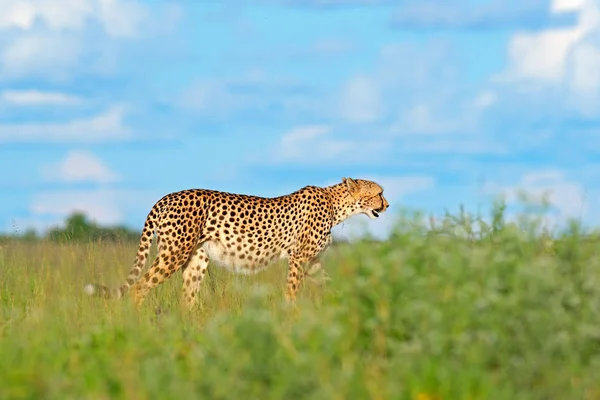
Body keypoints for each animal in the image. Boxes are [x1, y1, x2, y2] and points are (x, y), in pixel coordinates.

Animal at [84, 177, 390, 306]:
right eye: (379, 193)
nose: (387, 205)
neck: (336, 204)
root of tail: (165, 197)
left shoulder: (312, 260)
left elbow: (328, 283)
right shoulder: (299, 258)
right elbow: (292, 290)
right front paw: (291, 316)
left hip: (196, 259)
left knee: (188, 299)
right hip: (174, 253)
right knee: (139, 288)